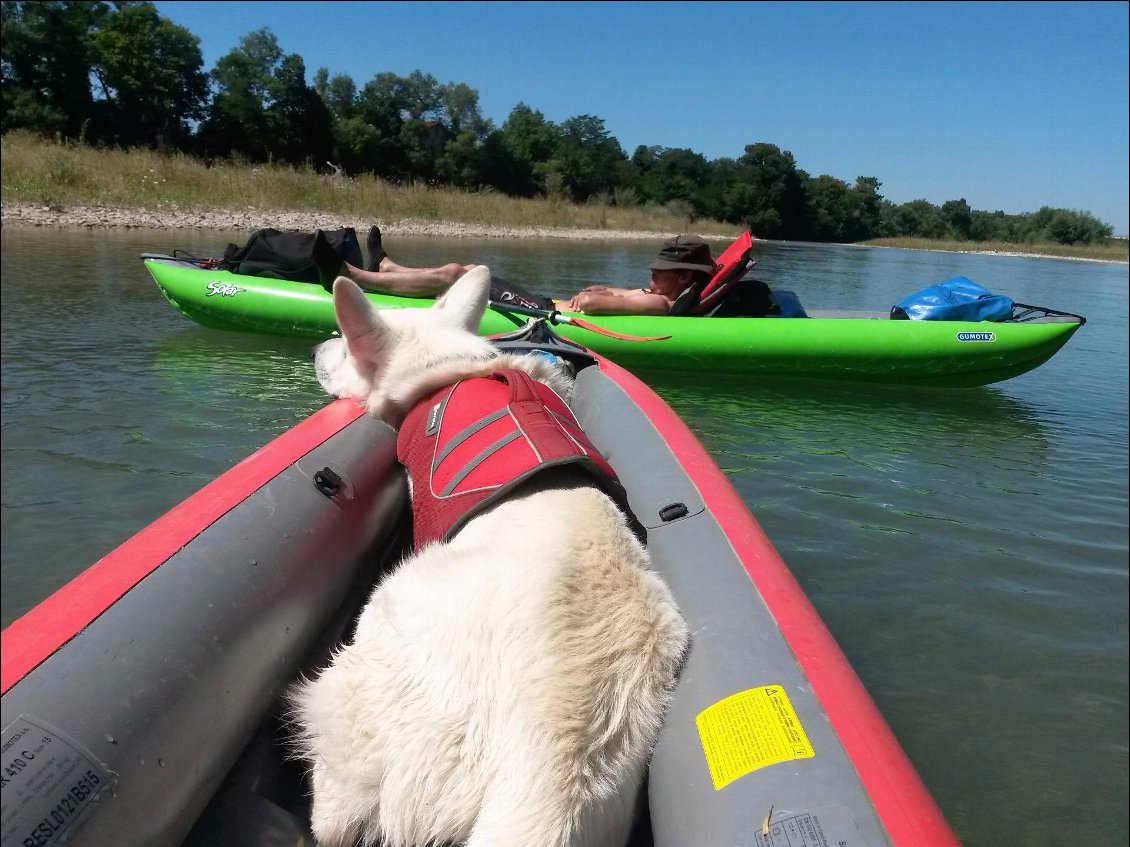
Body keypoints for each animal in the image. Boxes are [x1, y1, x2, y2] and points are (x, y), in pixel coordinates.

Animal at [287, 268, 682, 847]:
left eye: (345, 343)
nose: (314, 349)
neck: (445, 367)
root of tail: (543, 775)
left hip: (361, 669)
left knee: (334, 813)